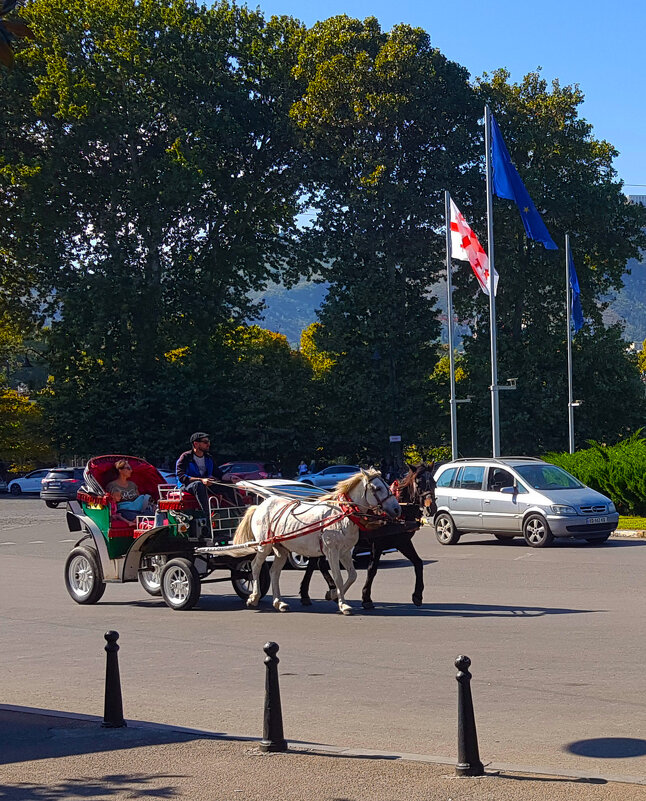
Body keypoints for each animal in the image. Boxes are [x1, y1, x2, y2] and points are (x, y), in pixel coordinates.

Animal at [235, 468, 402, 612]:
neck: (342, 514)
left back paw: (279, 602)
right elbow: (338, 577)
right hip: (265, 546)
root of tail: (260, 506)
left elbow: (352, 575)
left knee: (274, 572)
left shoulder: (345, 552)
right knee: (255, 566)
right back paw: (254, 597)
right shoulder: (332, 551)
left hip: (281, 549)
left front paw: (334, 595)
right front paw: (343, 605)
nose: (397, 509)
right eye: (378, 488)